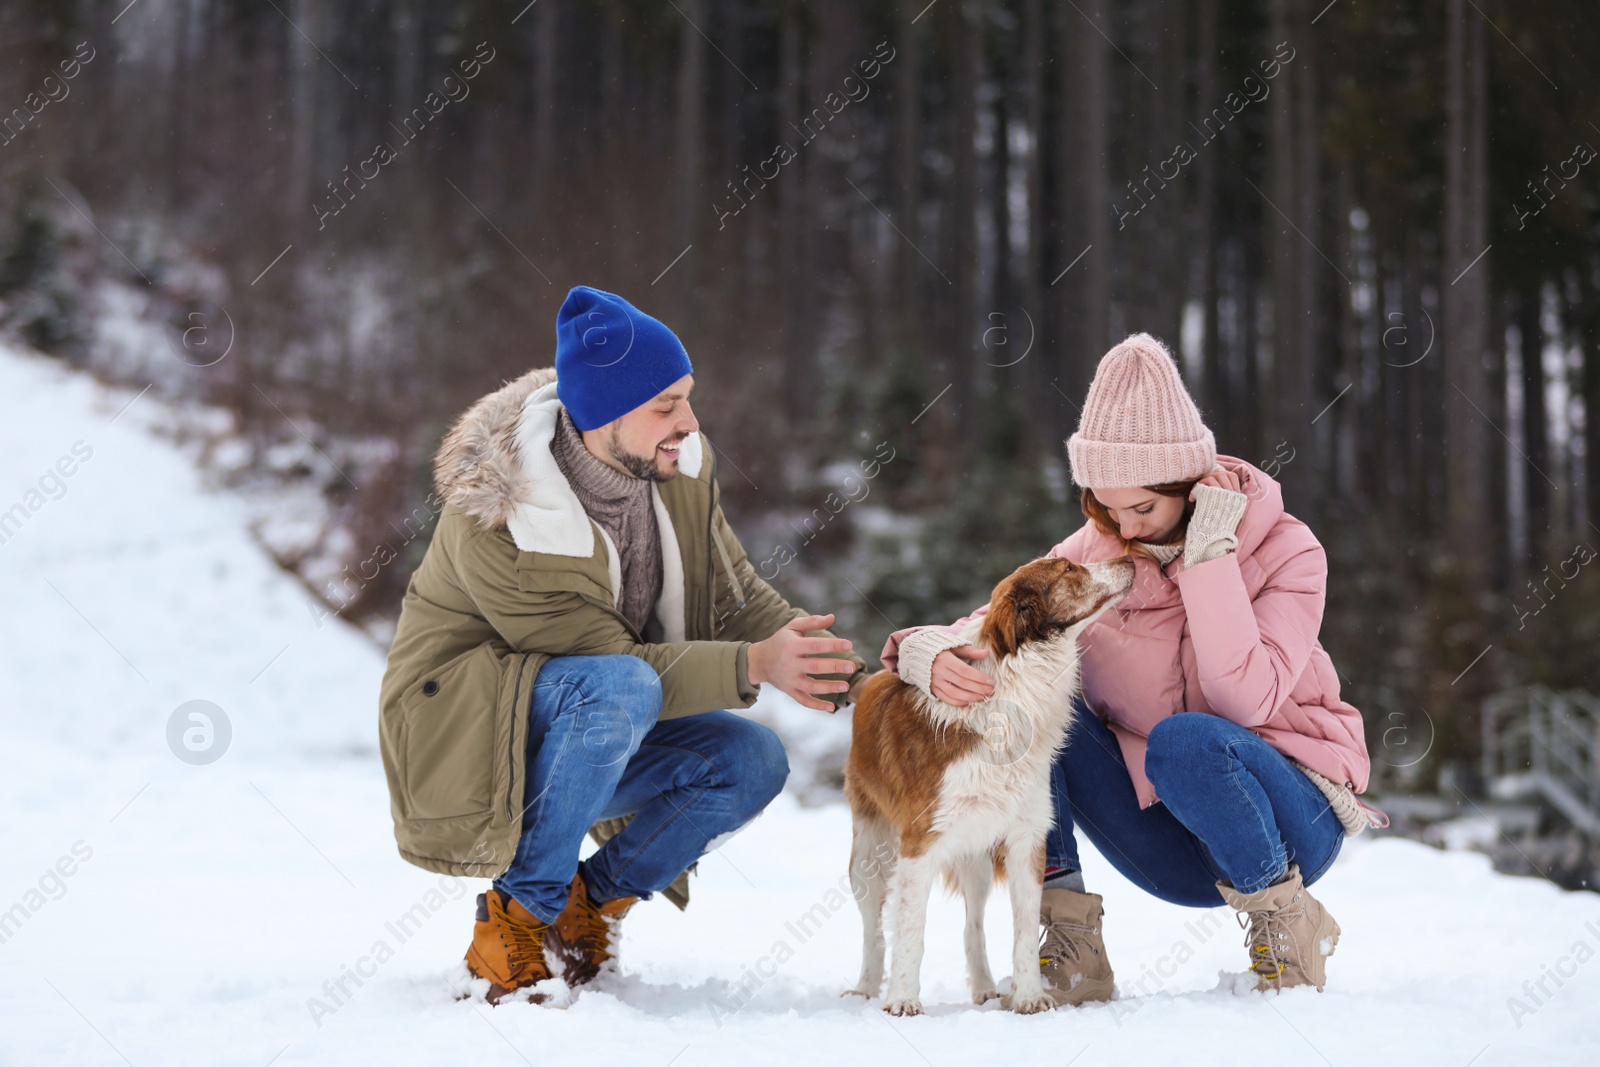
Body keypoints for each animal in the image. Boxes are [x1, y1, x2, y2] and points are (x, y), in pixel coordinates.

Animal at [844, 559, 1132, 1017]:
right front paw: (903, 999)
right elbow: (910, 931)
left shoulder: (1027, 838)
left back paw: (983, 987)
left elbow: (1024, 931)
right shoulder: (919, 843)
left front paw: (1029, 997)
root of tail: (871, 680)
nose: (1129, 558)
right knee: (873, 929)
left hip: (974, 857)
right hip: (868, 858)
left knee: (972, 925)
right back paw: (867, 989)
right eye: (1069, 568)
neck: (1013, 690)